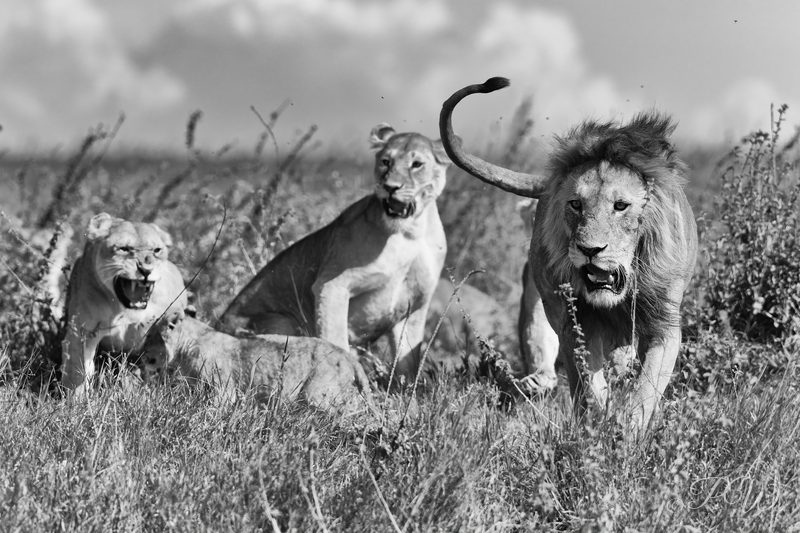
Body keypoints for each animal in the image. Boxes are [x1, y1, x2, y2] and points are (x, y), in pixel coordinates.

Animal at [61, 213, 188, 393]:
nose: (146, 270)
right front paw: (75, 399)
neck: (124, 310)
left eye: (157, 250)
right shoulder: (82, 330)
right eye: (124, 248)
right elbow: (76, 370)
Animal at [218, 124, 449, 380]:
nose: (390, 187)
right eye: (386, 162)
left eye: (417, 164)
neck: (410, 233)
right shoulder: (332, 285)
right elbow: (336, 340)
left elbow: (408, 367)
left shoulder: (415, 307)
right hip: (284, 322)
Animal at [440, 77, 698, 432]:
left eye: (621, 206)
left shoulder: (665, 324)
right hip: (544, 295)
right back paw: (540, 381)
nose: (590, 250)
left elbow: (647, 387)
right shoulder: (575, 320)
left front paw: (627, 429)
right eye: (575, 204)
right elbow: (587, 380)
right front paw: (598, 422)